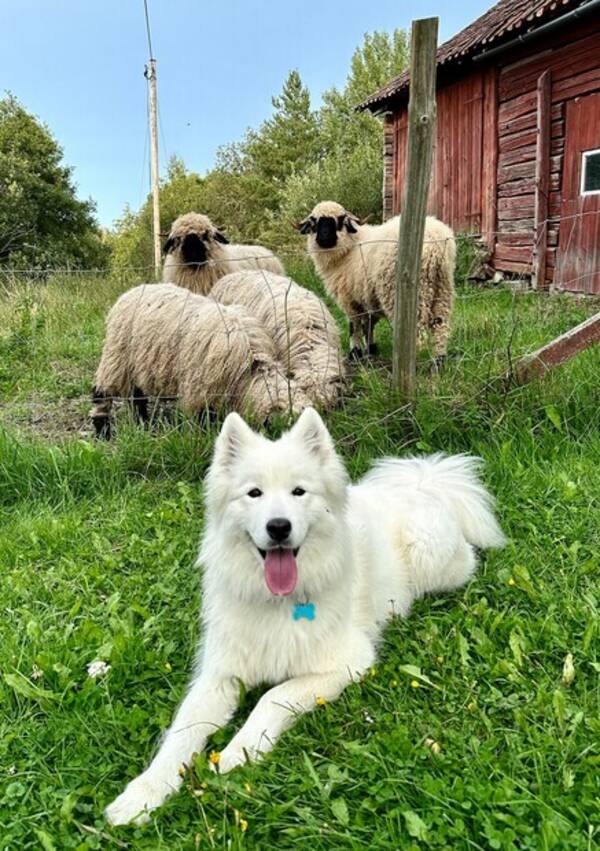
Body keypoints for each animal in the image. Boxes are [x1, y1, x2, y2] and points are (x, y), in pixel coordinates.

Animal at [92, 284, 314, 436]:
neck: (249, 372)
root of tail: (130, 291)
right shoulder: (202, 388)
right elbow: (203, 417)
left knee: (137, 394)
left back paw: (142, 422)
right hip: (117, 356)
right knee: (102, 390)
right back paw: (103, 429)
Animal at [105, 408, 504, 824]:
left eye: (299, 492)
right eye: (254, 493)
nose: (279, 527)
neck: (277, 602)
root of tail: (420, 483)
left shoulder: (348, 663)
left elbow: (272, 697)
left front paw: (236, 753)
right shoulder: (219, 676)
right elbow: (182, 733)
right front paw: (142, 794)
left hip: (434, 560)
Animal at [298, 201, 458, 362]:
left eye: (339, 221)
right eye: (314, 222)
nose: (324, 237)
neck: (349, 249)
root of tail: (434, 246)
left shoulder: (349, 299)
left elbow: (354, 326)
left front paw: (355, 352)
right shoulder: (368, 299)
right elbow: (369, 325)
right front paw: (371, 349)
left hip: (401, 292)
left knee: (417, 332)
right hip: (442, 287)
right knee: (440, 324)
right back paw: (439, 359)